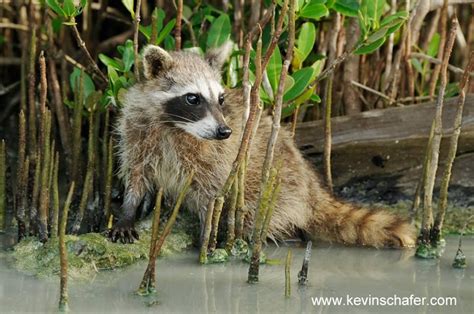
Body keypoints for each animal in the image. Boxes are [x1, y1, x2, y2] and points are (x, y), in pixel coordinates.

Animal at [110, 42, 414, 248]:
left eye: (221, 98)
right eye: (193, 98)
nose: (225, 131)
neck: (175, 126)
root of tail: (312, 188)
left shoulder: (215, 158)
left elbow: (212, 195)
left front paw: (207, 235)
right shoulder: (137, 134)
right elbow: (136, 175)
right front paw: (128, 212)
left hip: (277, 186)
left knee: (256, 213)